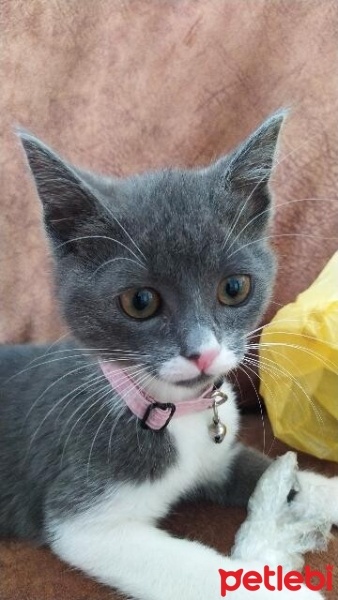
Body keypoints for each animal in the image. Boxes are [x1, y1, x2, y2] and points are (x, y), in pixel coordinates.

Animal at [0, 113, 338, 600]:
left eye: (234, 287)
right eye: (140, 301)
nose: (203, 352)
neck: (176, 412)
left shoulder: (219, 456)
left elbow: (279, 476)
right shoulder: (85, 516)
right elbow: (194, 569)